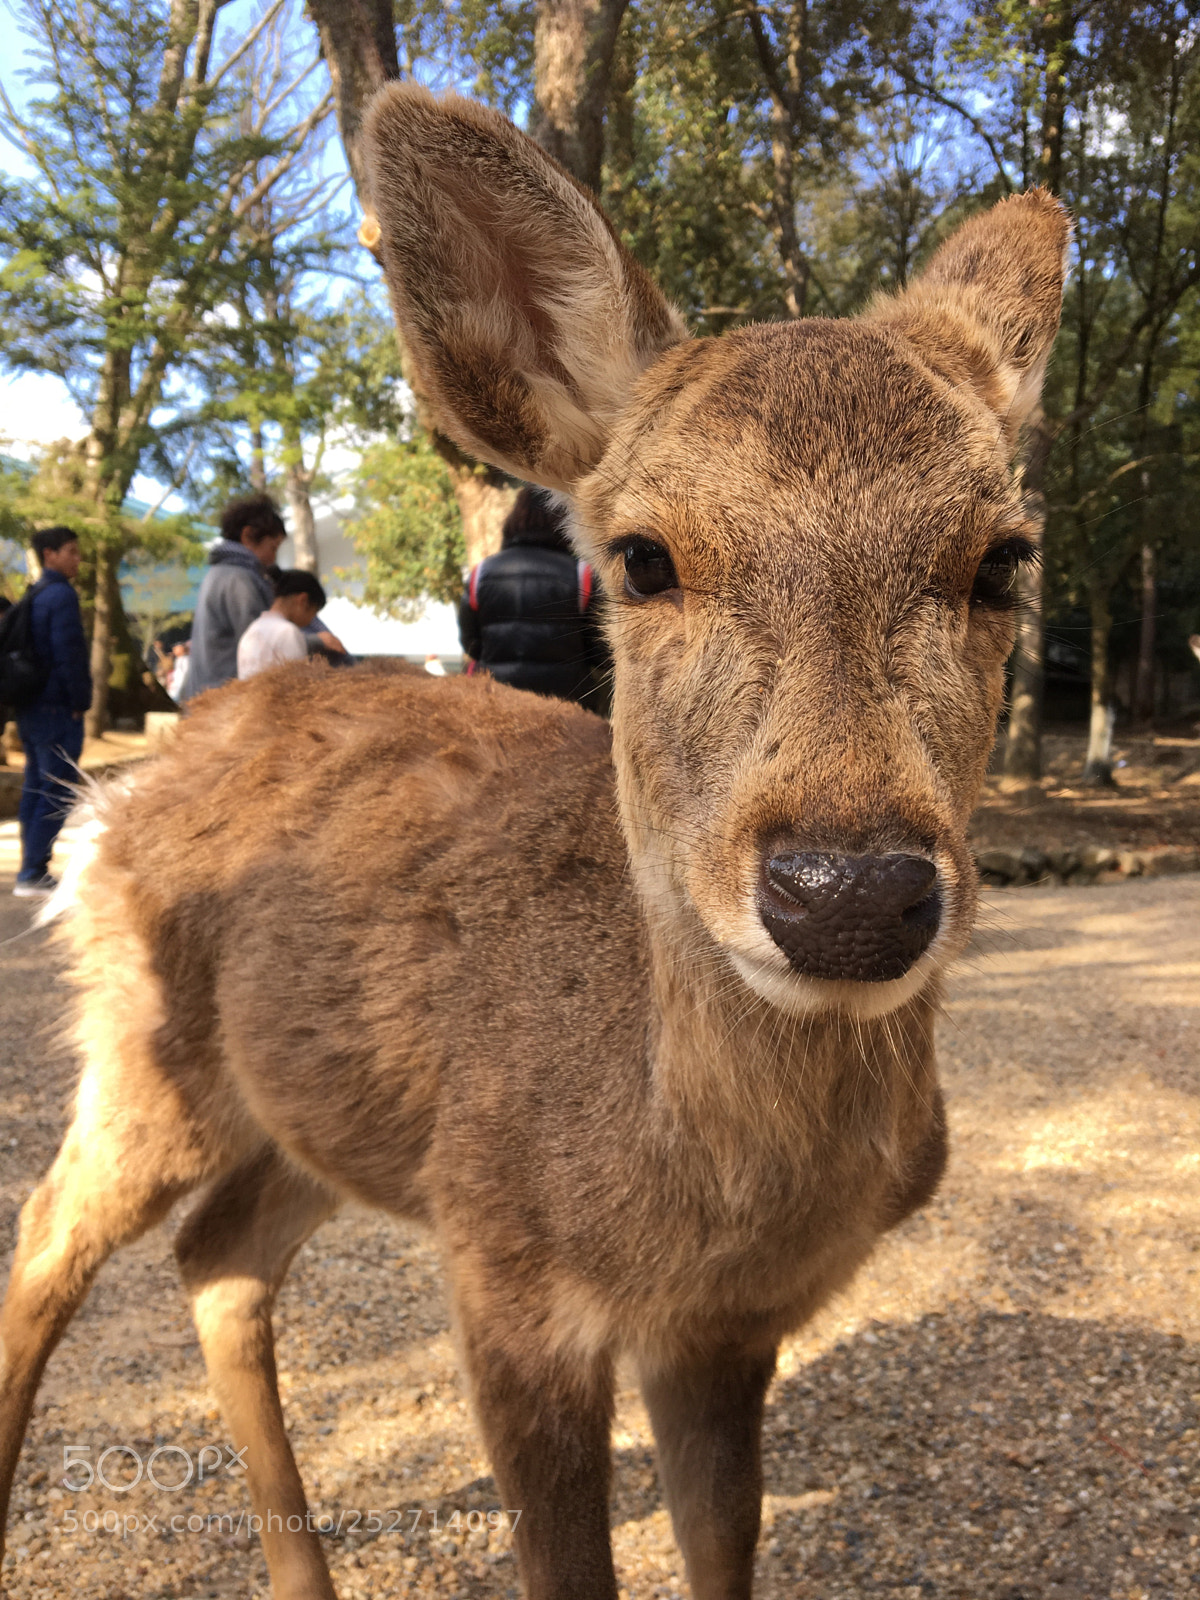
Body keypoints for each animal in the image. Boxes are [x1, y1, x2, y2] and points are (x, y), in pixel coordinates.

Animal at [0, 82, 1068, 1600]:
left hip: (325, 1118)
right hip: (147, 1052)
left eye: (1001, 559)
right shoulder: (505, 1275)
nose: (849, 891)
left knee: (217, 1257)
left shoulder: (721, 1326)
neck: (691, 1197)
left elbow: (722, 1546)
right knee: (45, 1241)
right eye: (642, 557)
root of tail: (110, 794)